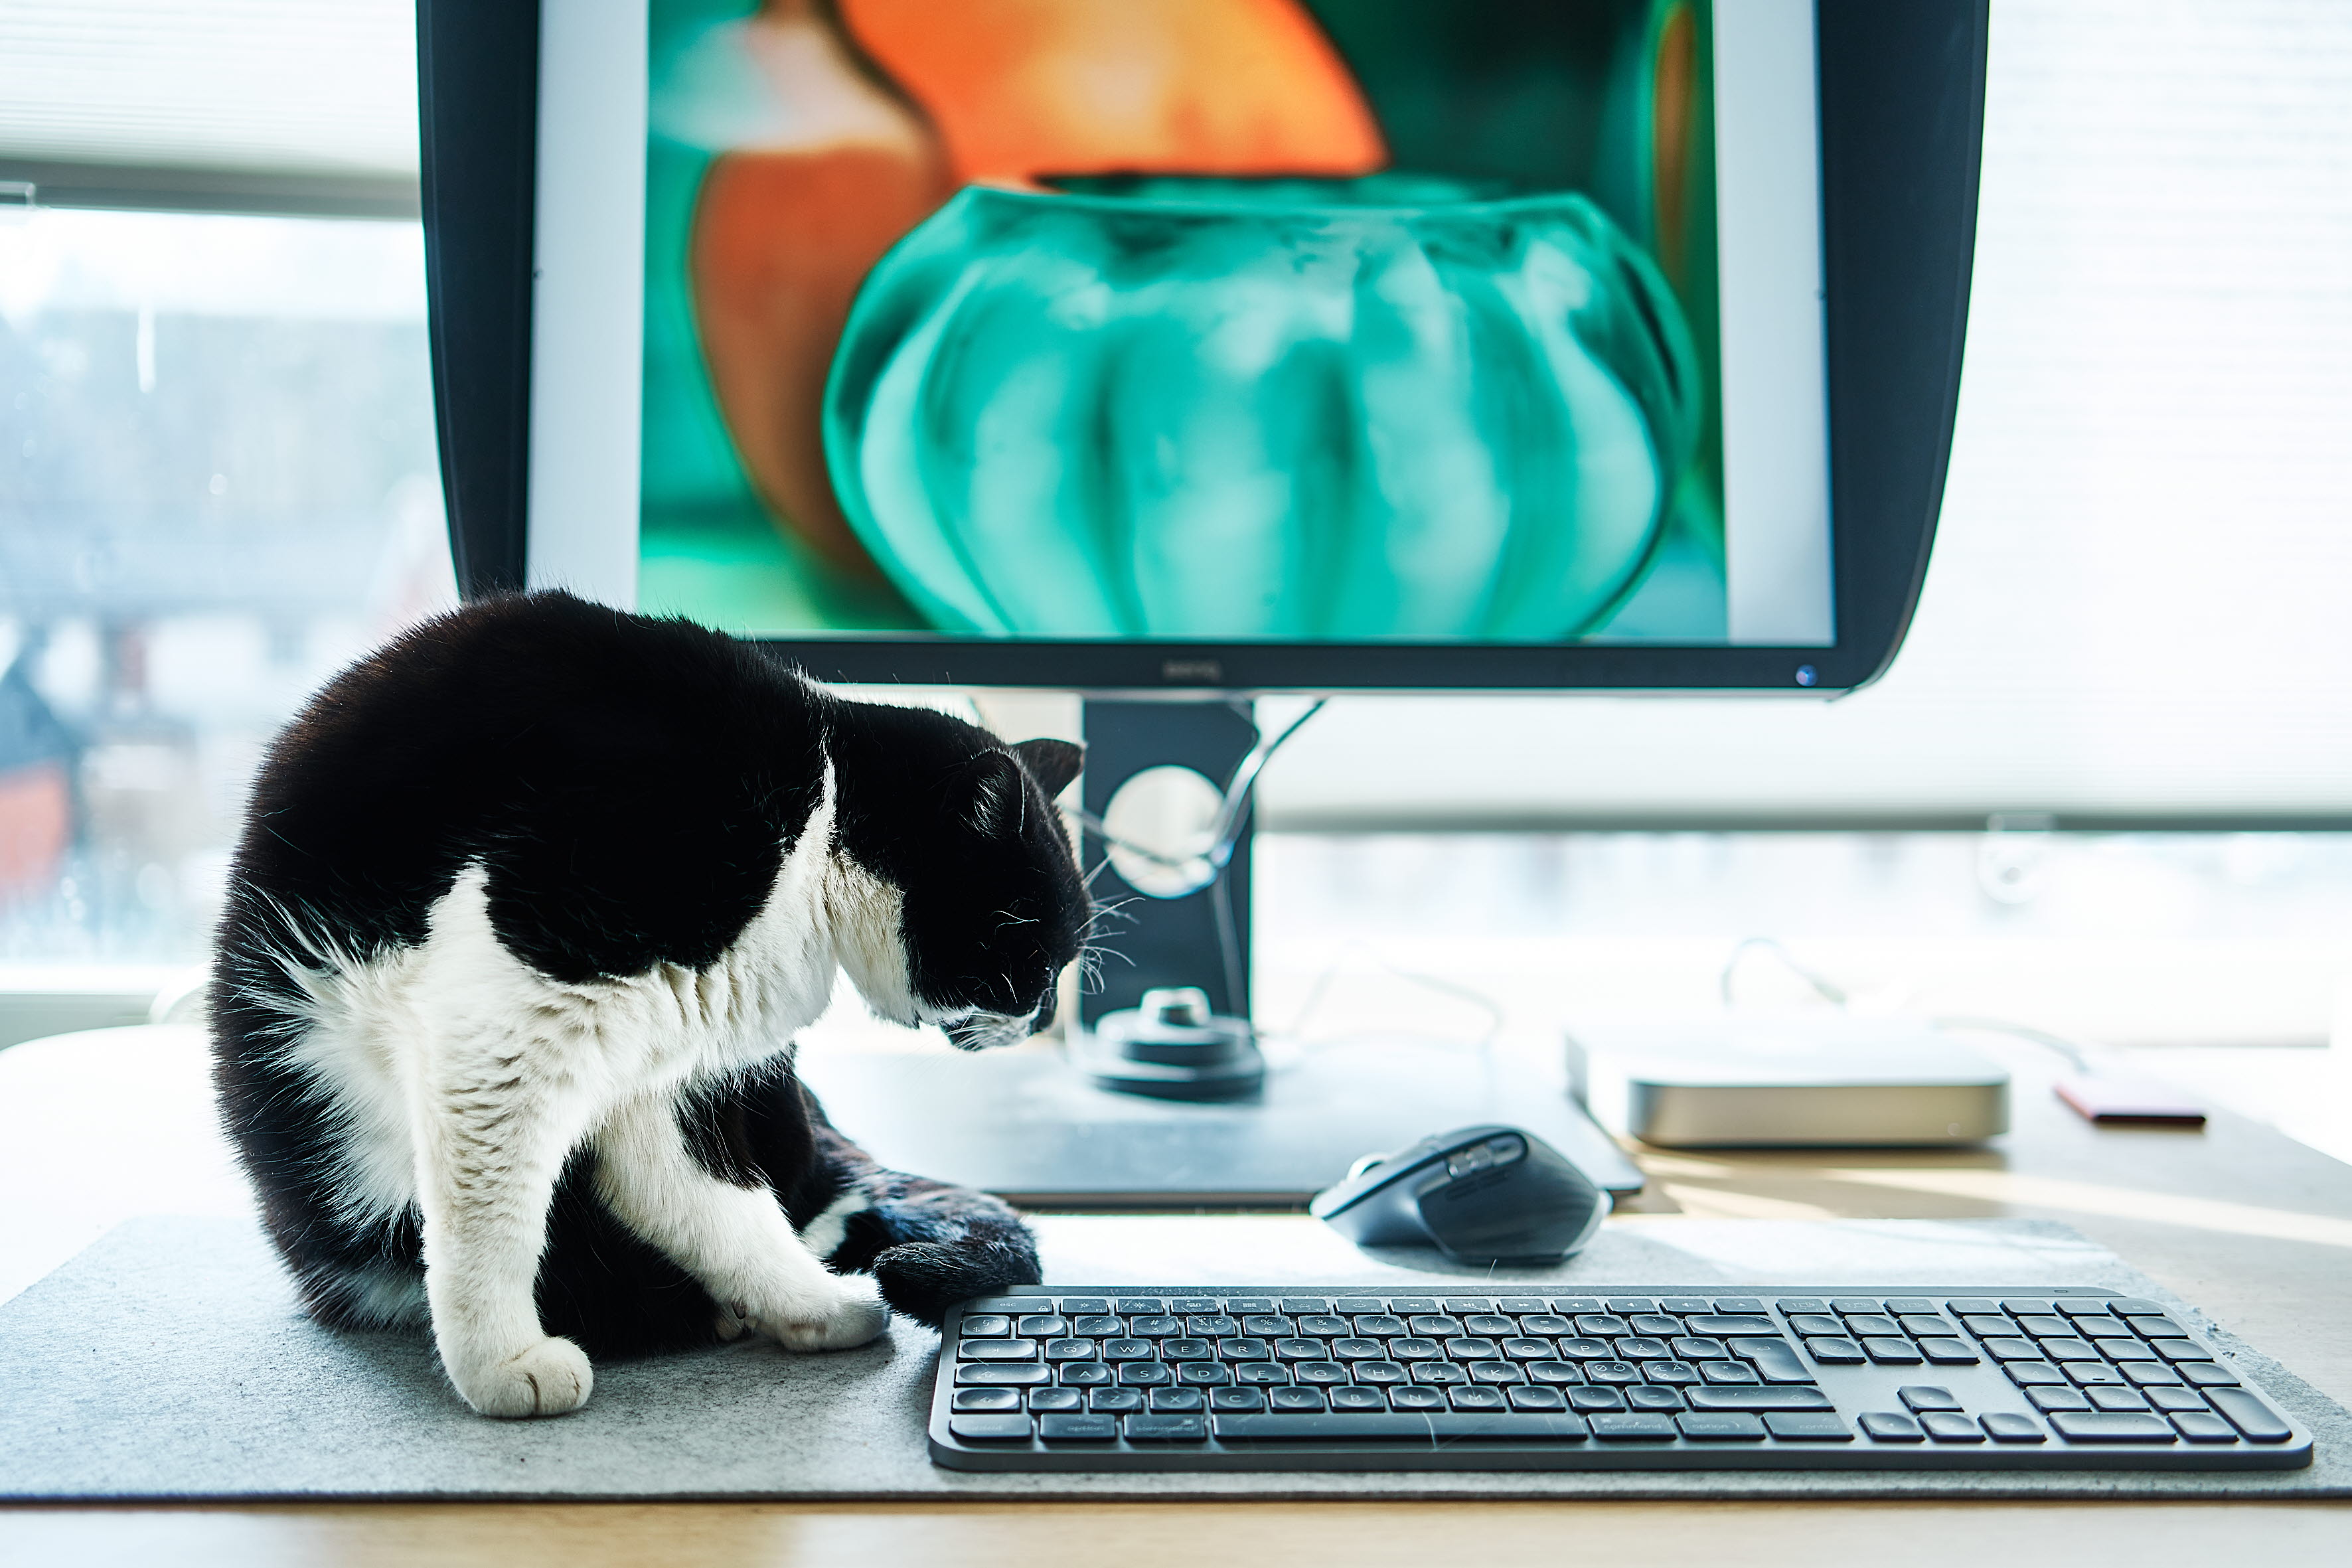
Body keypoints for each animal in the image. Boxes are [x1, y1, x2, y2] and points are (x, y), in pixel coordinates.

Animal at [206, 592, 1086, 1419]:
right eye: (1031, 950)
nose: (1045, 1015)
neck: (822, 815)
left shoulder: (664, 1069)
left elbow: (714, 1206)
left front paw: (813, 1308)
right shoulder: (523, 1000)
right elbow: (491, 1216)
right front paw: (501, 1362)